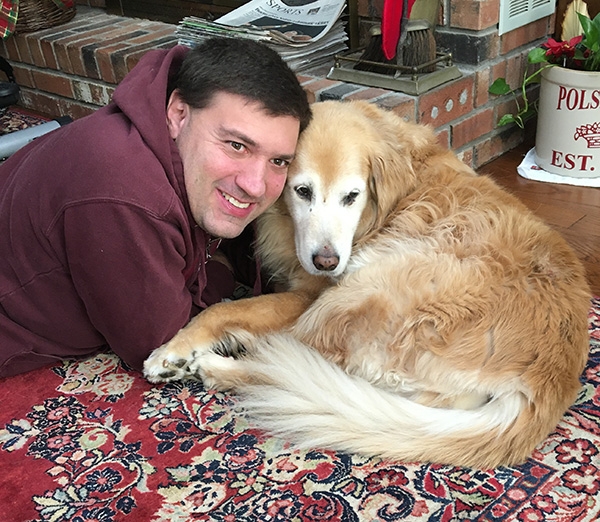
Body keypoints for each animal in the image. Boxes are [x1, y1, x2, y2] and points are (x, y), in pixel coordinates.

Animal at [145, 99, 592, 466]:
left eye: (352, 196)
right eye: (302, 190)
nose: (327, 262)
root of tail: (549, 377)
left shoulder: (311, 294)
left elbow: (227, 308)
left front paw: (171, 352)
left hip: (353, 297)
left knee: (285, 364)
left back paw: (216, 366)